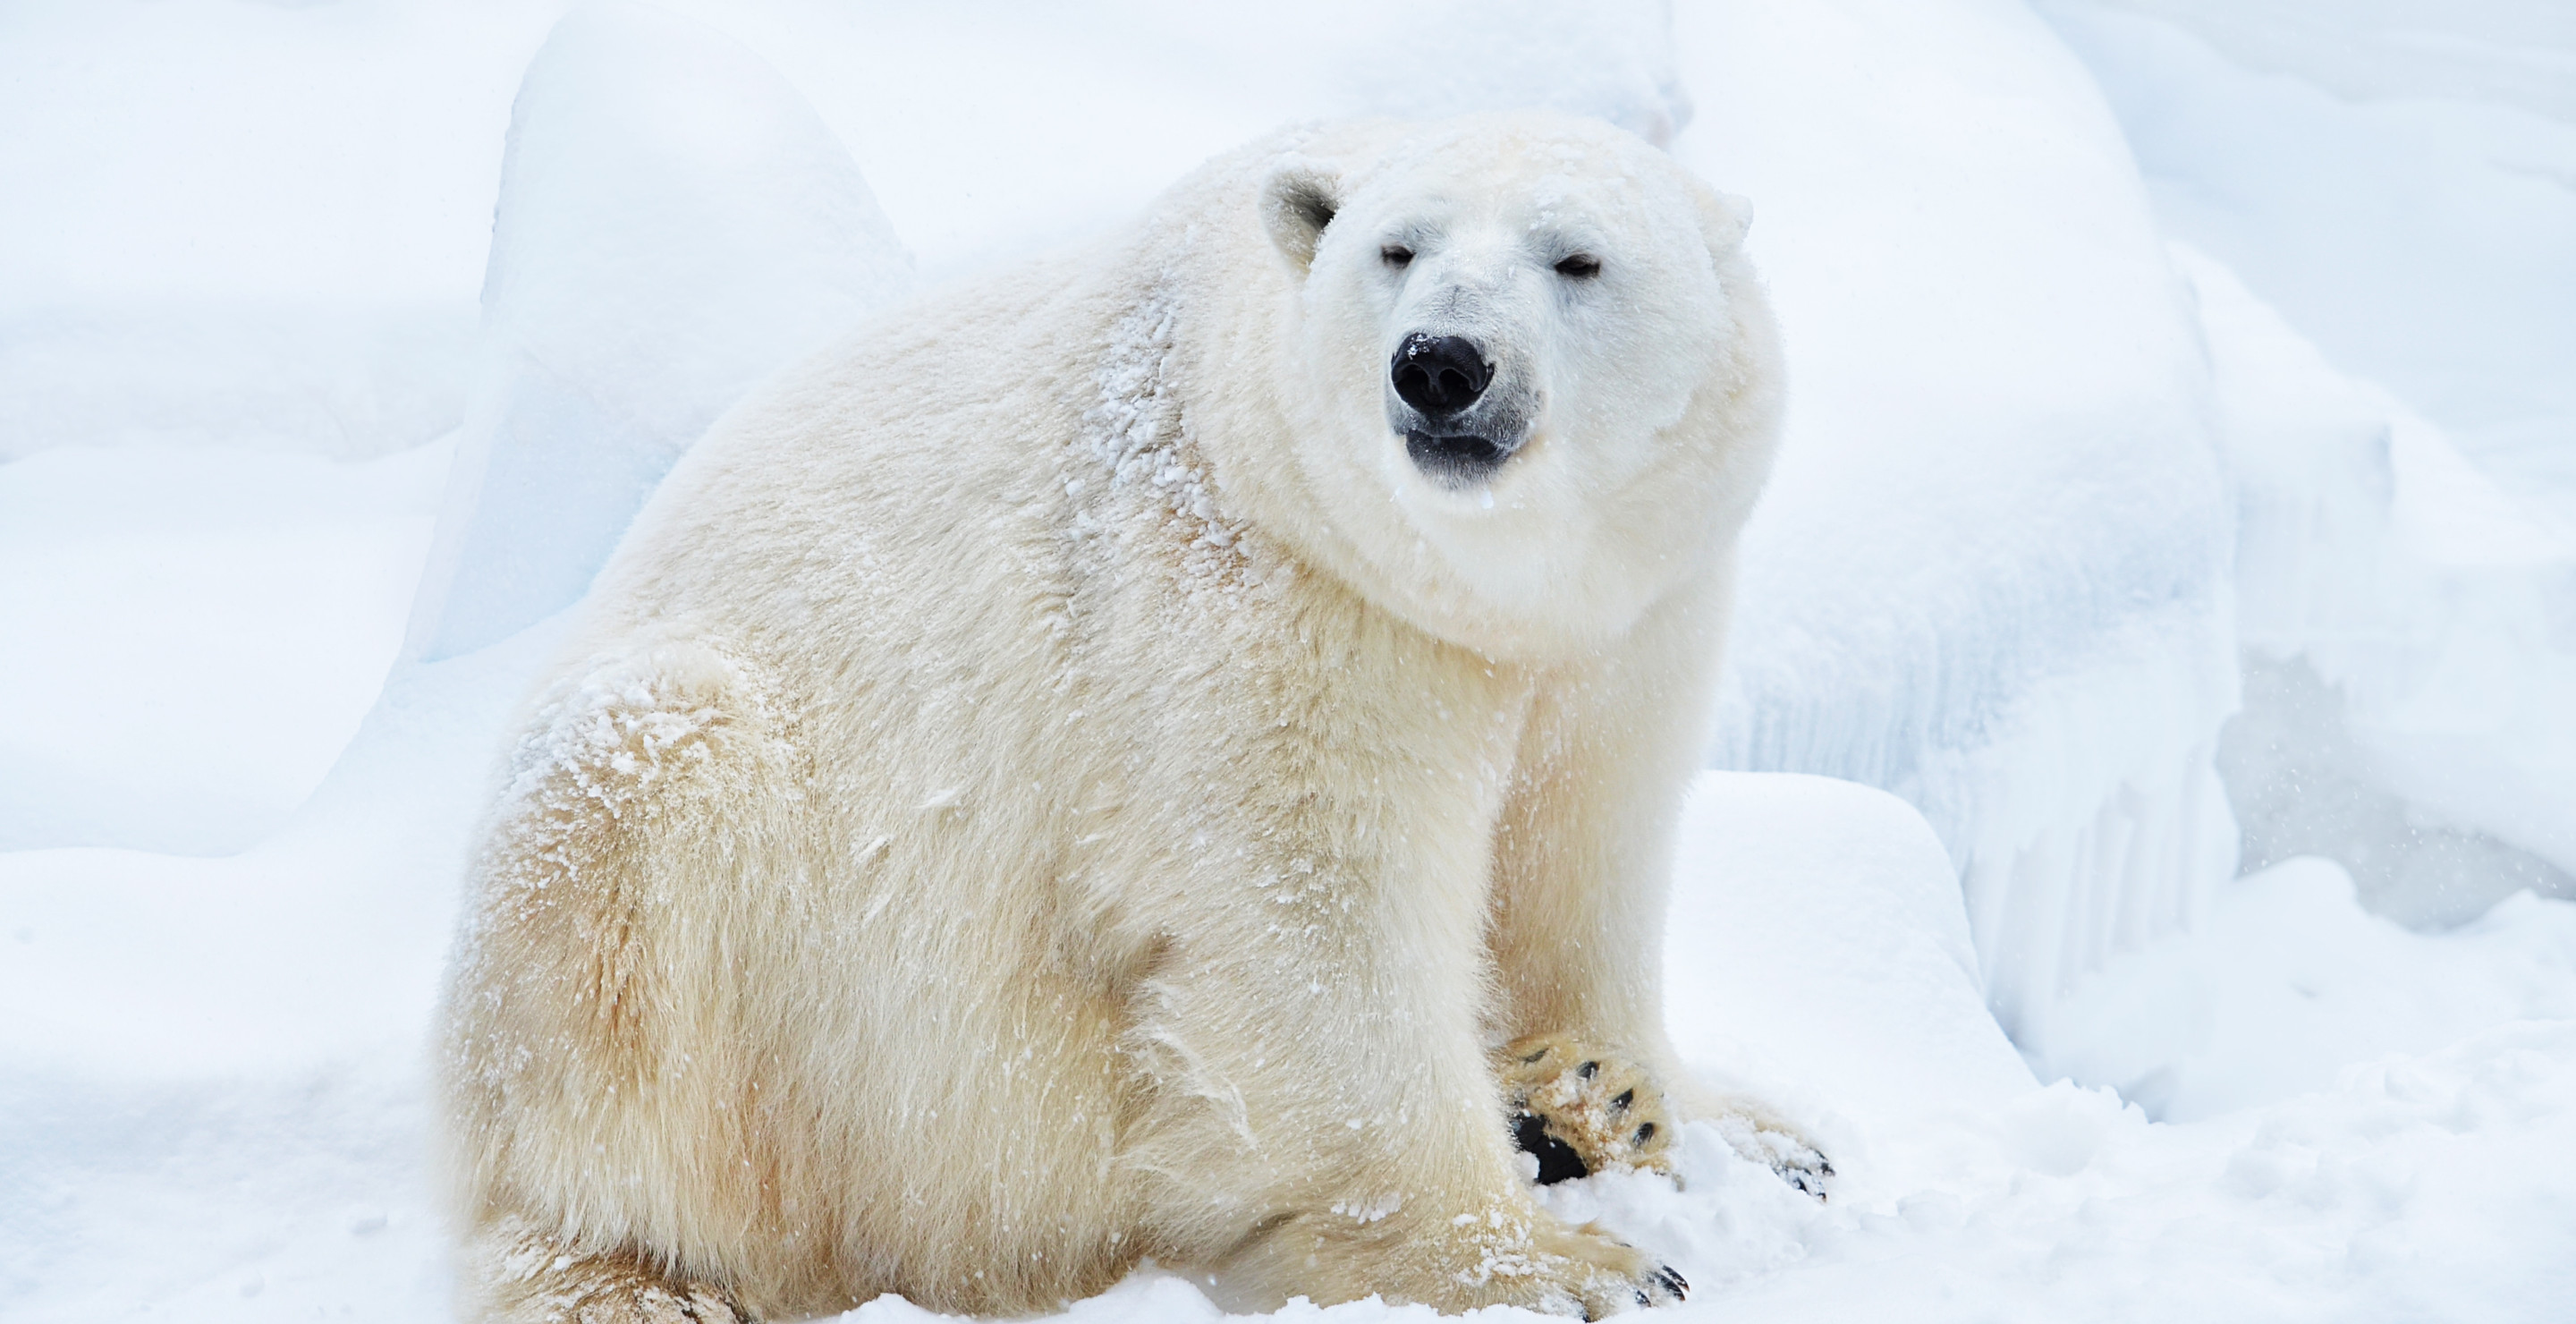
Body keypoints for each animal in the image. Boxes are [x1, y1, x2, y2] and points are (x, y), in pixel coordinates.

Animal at [443, 115, 1803, 1319]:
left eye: (1577, 259)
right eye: (1397, 249)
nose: (1441, 363)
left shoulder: (1629, 630)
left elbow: (1582, 849)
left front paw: (1647, 1103)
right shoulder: (1251, 601)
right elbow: (1317, 929)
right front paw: (1562, 1264)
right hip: (711, 907)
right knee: (625, 921)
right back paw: (640, 1282)